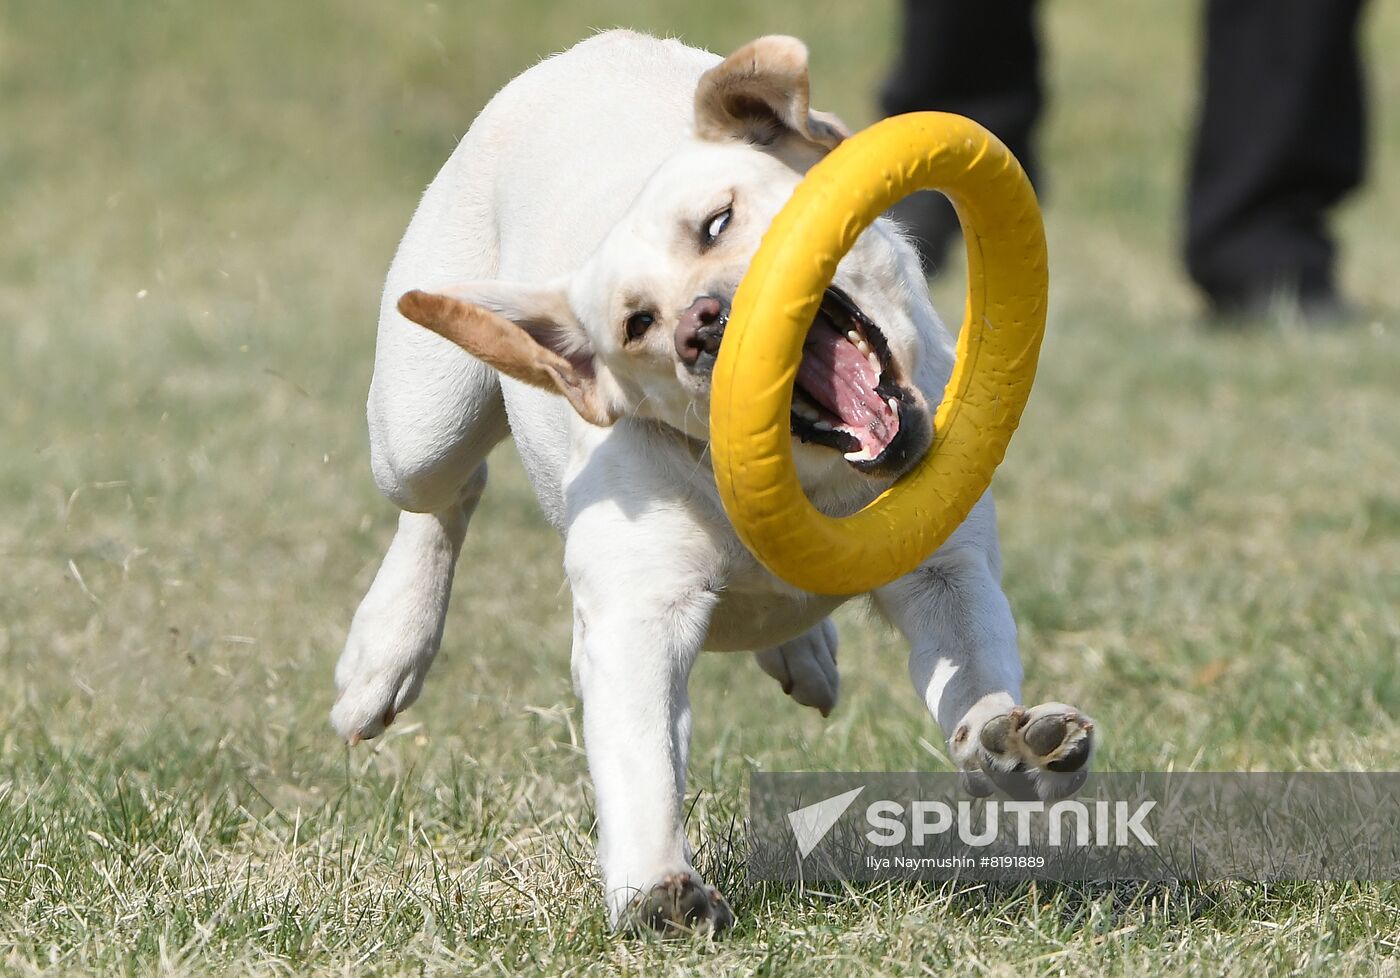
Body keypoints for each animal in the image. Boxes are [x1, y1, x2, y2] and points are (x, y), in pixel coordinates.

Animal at [333, 28, 1097, 934]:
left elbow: (974, 666)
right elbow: (641, 758)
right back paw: (384, 654)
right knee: (443, 496)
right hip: (422, 424)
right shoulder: (638, 614)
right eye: (637, 323)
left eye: (718, 223)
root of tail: (597, 42)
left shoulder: (945, 566)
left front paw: (1010, 739)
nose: (700, 327)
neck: (811, 482)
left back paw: (805, 650)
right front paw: (657, 887)